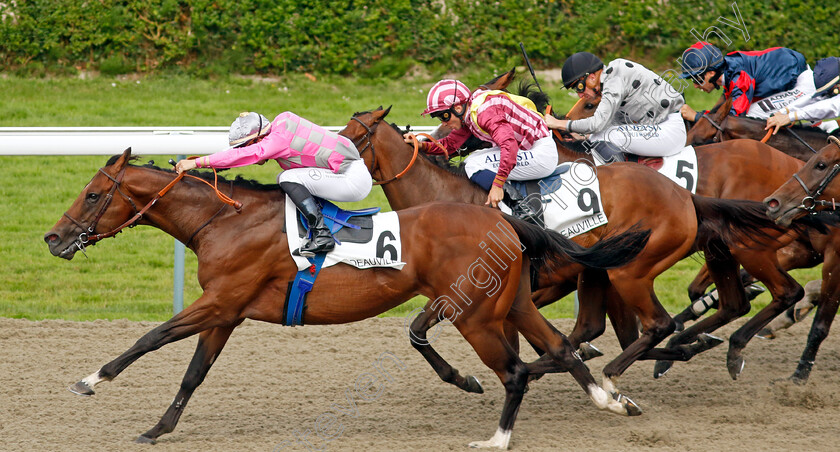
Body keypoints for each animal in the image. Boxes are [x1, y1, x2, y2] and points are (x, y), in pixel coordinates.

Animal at [44, 147, 648, 448]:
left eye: (93, 194)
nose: (52, 238)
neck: (224, 222)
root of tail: (504, 220)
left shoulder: (220, 302)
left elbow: (152, 336)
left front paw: (90, 380)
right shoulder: (227, 312)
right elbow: (193, 373)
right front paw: (158, 429)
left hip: (474, 313)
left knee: (516, 371)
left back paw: (498, 439)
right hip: (513, 302)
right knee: (561, 348)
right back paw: (612, 400)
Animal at [342, 107, 808, 396]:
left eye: (352, 142)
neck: (450, 200)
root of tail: (682, 195)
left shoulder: (481, 291)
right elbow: (420, 330)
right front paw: (467, 377)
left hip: (637, 268)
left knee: (664, 322)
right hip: (669, 259)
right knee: (717, 307)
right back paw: (685, 347)